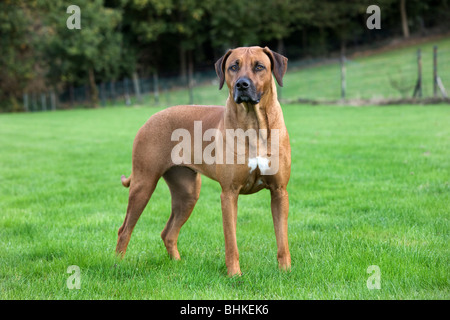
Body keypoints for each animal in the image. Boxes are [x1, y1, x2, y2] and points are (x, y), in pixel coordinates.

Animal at [117, 46, 292, 276]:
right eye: (233, 66)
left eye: (259, 66)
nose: (242, 85)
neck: (253, 123)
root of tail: (150, 119)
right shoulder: (229, 193)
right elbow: (231, 242)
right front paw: (234, 275)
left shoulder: (279, 191)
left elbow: (282, 239)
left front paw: (286, 271)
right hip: (143, 184)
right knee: (125, 229)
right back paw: (117, 265)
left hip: (187, 193)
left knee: (168, 232)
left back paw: (177, 264)